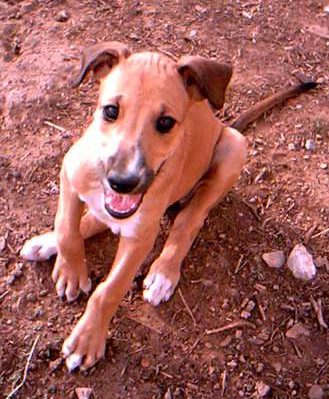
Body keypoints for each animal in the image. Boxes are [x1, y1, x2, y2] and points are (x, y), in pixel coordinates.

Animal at [19, 41, 316, 372]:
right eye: (110, 111)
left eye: (165, 123)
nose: (122, 182)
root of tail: (222, 124)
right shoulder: (70, 171)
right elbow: (67, 228)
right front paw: (70, 270)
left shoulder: (140, 237)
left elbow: (109, 290)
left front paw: (87, 340)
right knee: (92, 219)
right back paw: (45, 243)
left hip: (234, 147)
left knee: (189, 220)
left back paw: (164, 272)